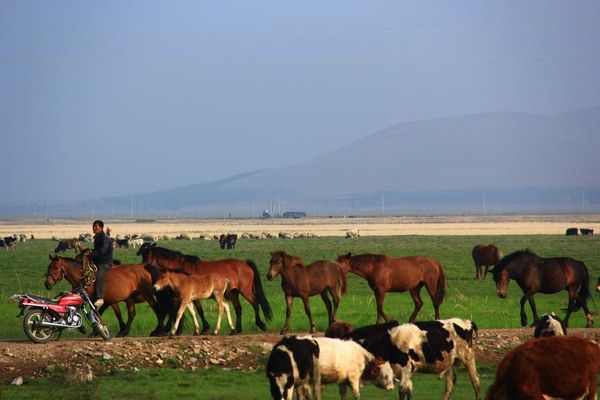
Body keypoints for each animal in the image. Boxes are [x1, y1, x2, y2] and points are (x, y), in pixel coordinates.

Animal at [141, 245, 272, 332]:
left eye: (145, 258)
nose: (142, 267)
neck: (182, 268)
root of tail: (245, 263)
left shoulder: (192, 297)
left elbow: (194, 311)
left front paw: (204, 328)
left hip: (245, 291)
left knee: (255, 303)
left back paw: (261, 324)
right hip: (234, 293)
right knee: (238, 308)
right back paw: (238, 328)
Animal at [344, 318, 480, 400]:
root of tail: (465, 322)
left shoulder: (406, 368)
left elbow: (402, 392)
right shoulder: (405, 372)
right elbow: (409, 391)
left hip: (468, 357)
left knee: (475, 381)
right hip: (451, 363)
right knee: (450, 386)